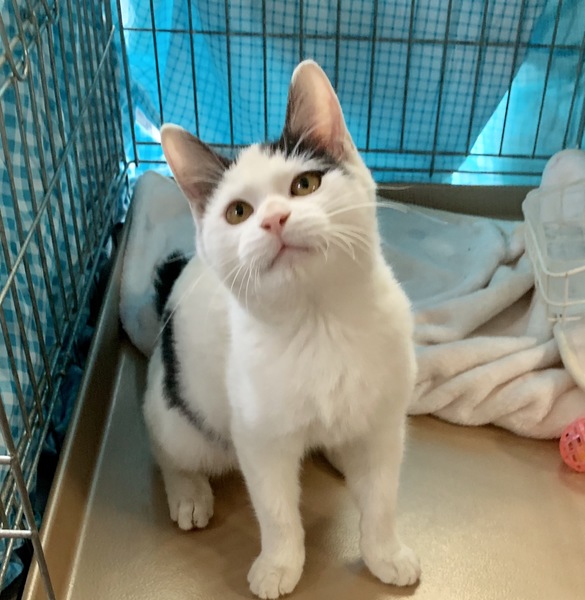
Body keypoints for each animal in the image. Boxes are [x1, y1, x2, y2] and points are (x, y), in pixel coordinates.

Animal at [144, 60, 420, 599]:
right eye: (238, 212)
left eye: (305, 184)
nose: (274, 219)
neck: (319, 323)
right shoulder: (259, 437)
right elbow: (275, 510)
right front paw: (279, 563)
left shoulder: (383, 420)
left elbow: (381, 496)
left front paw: (385, 552)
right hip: (186, 419)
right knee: (166, 444)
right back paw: (187, 490)